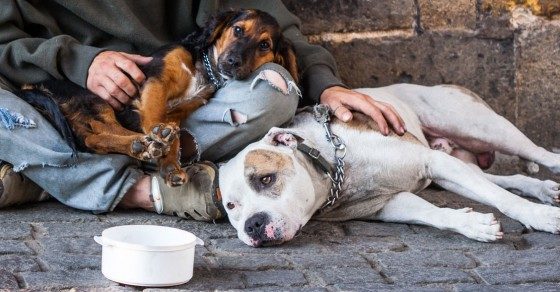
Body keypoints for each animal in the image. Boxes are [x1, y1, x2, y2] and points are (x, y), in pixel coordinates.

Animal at [18, 9, 298, 187]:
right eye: (238, 30)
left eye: (264, 45)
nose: (232, 62)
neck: (204, 69)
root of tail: (32, 86)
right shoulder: (156, 81)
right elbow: (154, 115)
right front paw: (159, 135)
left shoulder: (180, 111)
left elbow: (173, 137)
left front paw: (171, 167)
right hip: (95, 99)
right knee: (98, 133)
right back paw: (143, 144)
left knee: (95, 138)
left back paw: (142, 147)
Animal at [219, 84, 560, 246]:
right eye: (232, 207)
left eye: (266, 179)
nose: (253, 224)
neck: (335, 169)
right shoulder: (387, 204)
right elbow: (431, 213)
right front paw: (472, 224)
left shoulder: (431, 161)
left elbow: (503, 199)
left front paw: (541, 217)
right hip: (455, 159)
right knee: (504, 178)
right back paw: (543, 189)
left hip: (480, 126)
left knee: (538, 153)